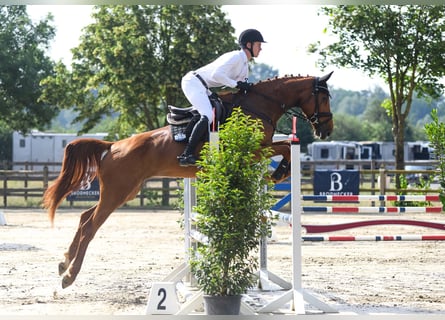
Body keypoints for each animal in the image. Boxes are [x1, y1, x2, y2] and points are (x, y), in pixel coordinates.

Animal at [42, 72, 332, 288]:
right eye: (324, 98)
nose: (327, 130)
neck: (259, 105)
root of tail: (112, 146)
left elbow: (283, 146)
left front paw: (279, 171)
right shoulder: (253, 150)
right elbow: (284, 147)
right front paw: (280, 171)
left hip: (125, 191)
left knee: (84, 218)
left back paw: (64, 262)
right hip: (117, 192)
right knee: (91, 226)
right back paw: (69, 276)